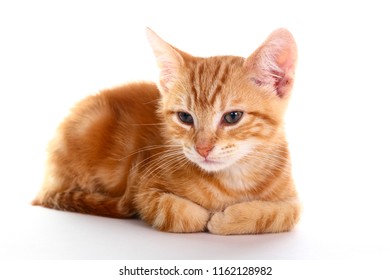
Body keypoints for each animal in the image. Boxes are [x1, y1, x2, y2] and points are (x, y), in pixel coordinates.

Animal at [33, 27, 302, 234]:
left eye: (232, 117)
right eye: (185, 117)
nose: (202, 149)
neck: (233, 180)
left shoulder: (293, 202)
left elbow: (280, 214)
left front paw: (229, 218)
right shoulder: (145, 189)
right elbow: (180, 213)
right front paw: (208, 216)